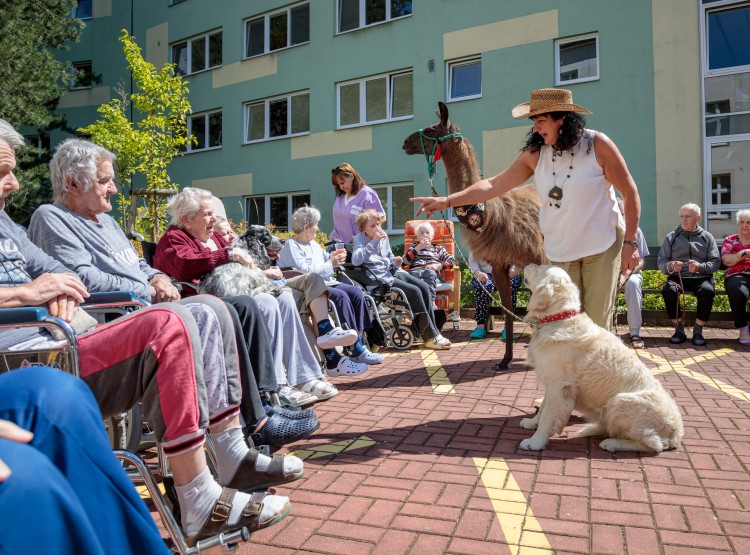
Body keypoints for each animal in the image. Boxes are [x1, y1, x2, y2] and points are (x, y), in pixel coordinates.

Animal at [520, 262, 684, 454]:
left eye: (541, 267)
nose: (528, 263)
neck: (557, 319)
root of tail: (676, 436)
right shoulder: (553, 383)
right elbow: (543, 408)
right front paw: (532, 422)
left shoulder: (559, 386)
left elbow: (547, 416)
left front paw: (535, 441)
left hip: (619, 401)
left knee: (653, 445)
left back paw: (612, 443)